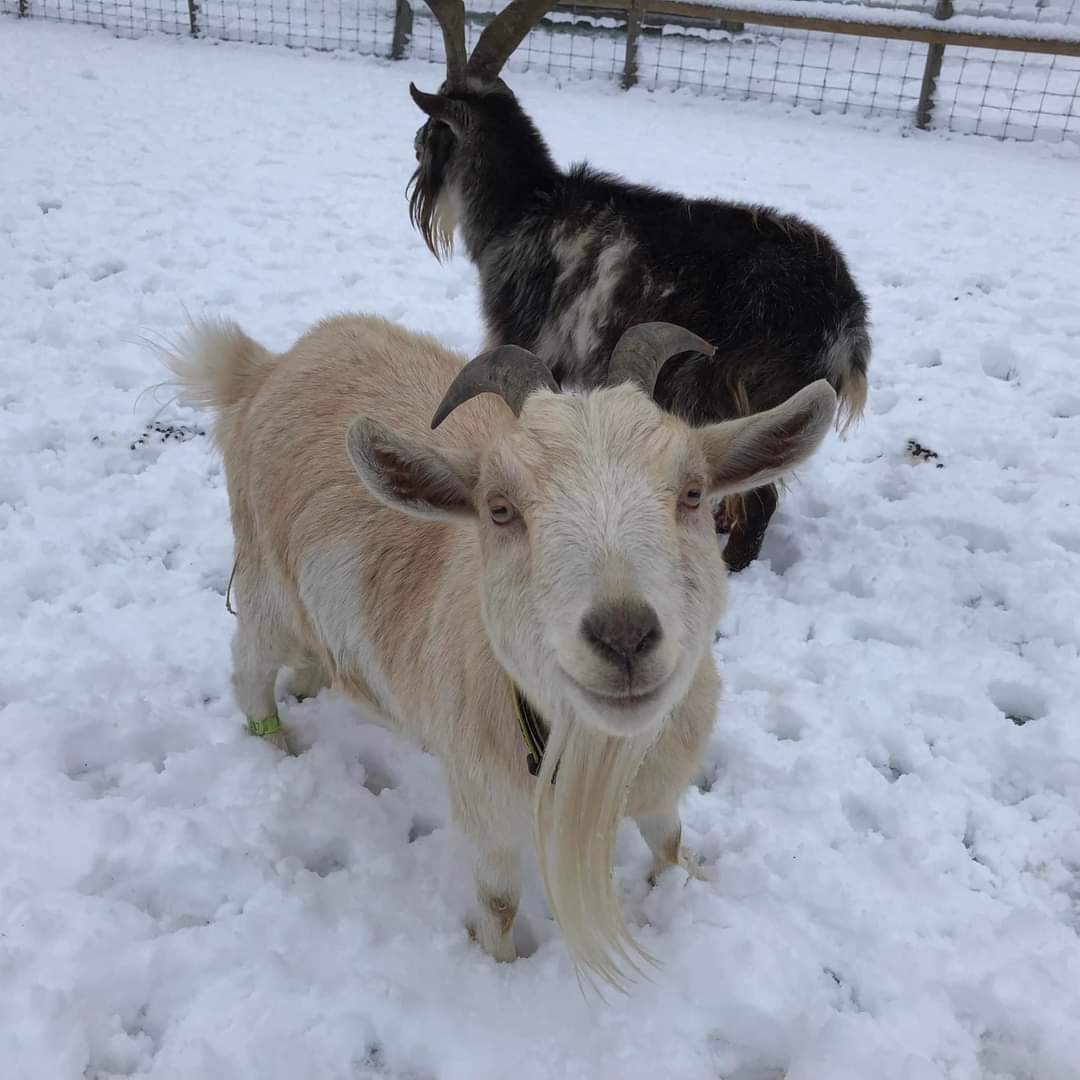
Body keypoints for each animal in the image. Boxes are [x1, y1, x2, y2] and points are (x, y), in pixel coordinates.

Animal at [167, 314, 837, 987]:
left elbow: (668, 843)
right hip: (265, 588)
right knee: (248, 669)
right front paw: (501, 970)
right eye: (499, 508)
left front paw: (689, 879)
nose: (624, 636)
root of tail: (265, 365)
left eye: (693, 492)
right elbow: (499, 902)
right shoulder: (484, 809)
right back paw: (277, 745)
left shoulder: (660, 782)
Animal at [407, 0, 870, 571]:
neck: (522, 208)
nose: (415, 154)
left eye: (431, 129)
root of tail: (847, 318)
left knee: (762, 497)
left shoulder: (526, 338)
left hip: (736, 390)